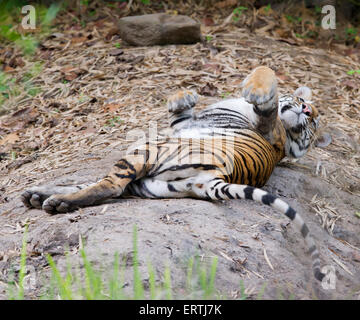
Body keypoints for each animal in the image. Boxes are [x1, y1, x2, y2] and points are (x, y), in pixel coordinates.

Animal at [21, 67, 330, 280]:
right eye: (305, 104)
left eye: (312, 123)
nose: (306, 109)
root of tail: (215, 179)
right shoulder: (185, 123)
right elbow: (180, 110)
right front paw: (185, 95)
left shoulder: (266, 123)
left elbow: (266, 78)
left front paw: (255, 87)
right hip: (147, 180)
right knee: (97, 185)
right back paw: (37, 196)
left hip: (147, 149)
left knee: (109, 185)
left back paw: (56, 203)